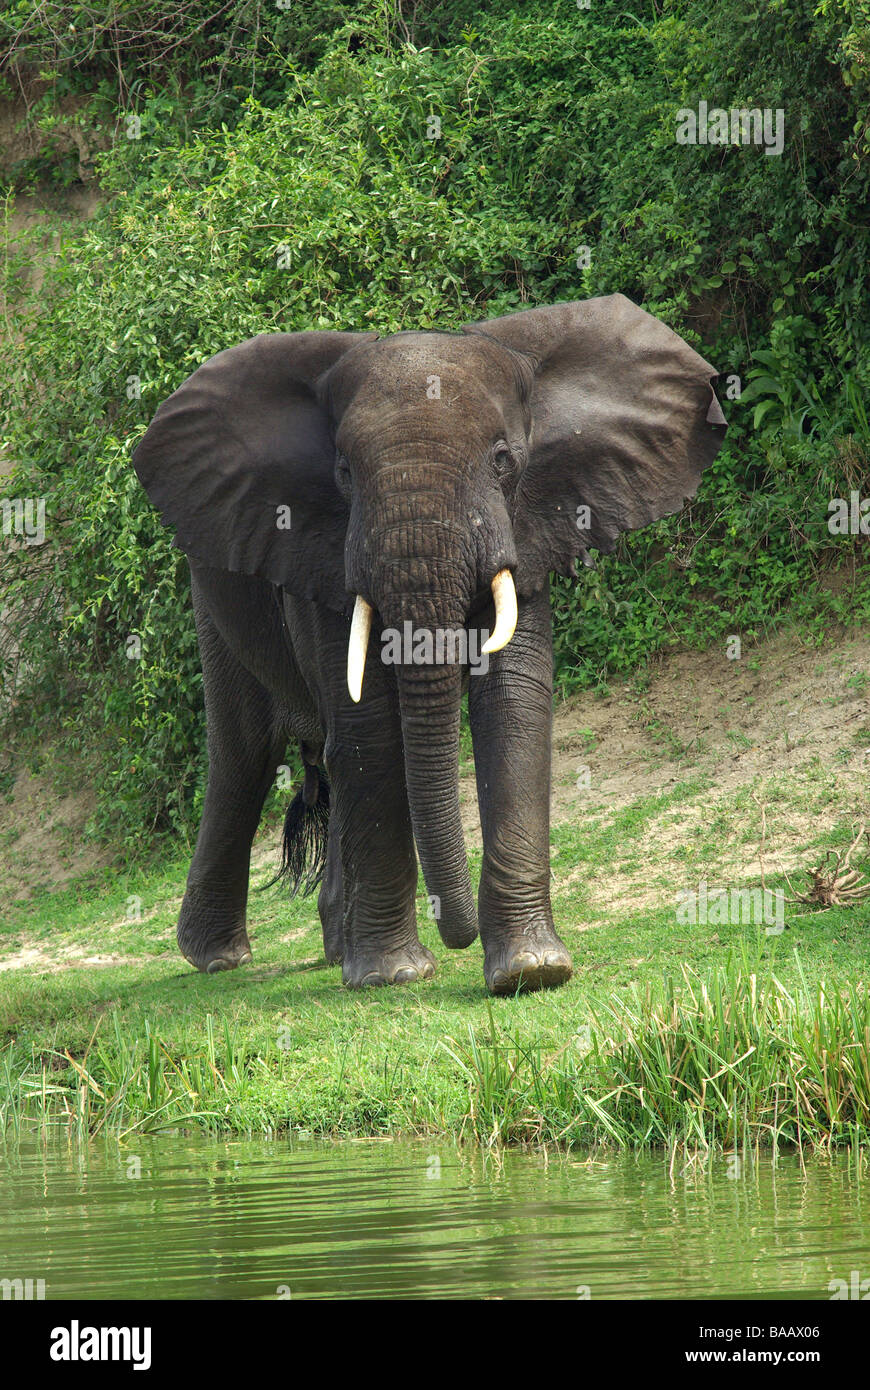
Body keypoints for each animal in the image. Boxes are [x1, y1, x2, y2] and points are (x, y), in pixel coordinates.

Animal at [132, 294, 726, 994]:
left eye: (503, 460)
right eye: (342, 473)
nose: (458, 934)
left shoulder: (530, 526)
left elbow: (513, 707)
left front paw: (531, 972)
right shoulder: (321, 557)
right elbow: (368, 726)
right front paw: (392, 977)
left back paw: (335, 949)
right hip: (211, 589)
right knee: (244, 754)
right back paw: (220, 957)